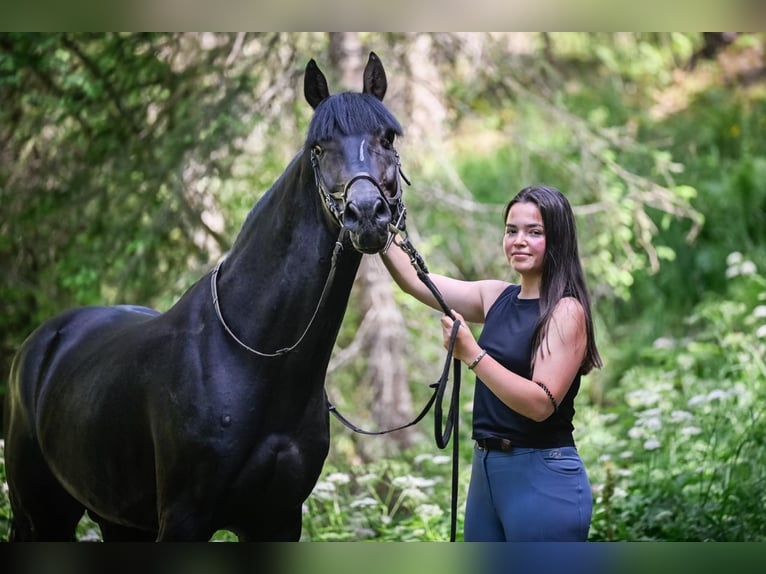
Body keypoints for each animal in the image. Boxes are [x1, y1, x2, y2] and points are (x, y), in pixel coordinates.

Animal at [4, 52, 408, 541]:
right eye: (318, 147)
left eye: (387, 137)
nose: (365, 214)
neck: (254, 356)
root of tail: (41, 343)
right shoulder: (184, 519)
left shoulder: (279, 519)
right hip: (39, 515)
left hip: (117, 518)